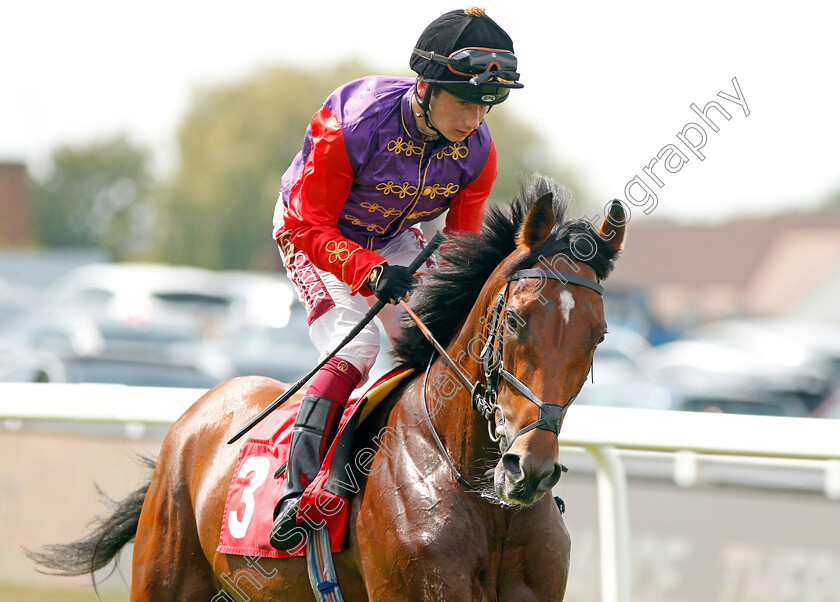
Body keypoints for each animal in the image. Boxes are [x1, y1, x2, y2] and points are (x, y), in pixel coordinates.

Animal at [27, 172, 624, 596]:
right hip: (164, 576)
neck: (478, 492)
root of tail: (198, 415)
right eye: (517, 320)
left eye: (598, 335)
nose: (529, 469)